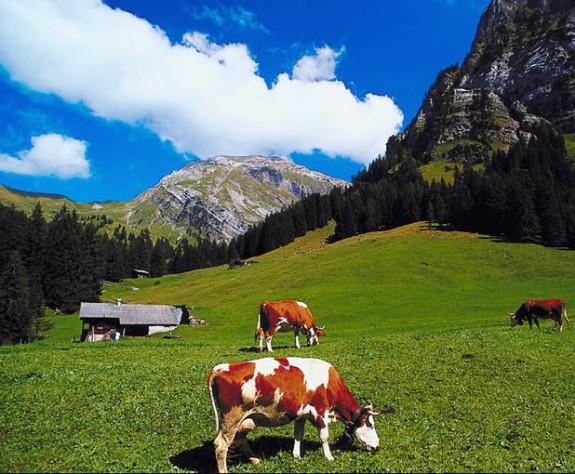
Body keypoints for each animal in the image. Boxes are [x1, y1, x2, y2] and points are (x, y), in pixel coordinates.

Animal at [209, 358, 380, 472]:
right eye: (370, 425)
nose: (377, 447)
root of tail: (219, 368)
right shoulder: (321, 411)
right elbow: (324, 436)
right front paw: (329, 457)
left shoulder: (302, 415)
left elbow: (298, 434)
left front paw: (297, 455)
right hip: (231, 418)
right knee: (221, 445)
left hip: (245, 420)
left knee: (240, 439)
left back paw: (255, 459)